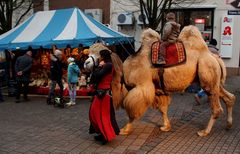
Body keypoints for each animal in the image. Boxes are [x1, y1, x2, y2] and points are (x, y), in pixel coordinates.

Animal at [84, 25, 236, 137]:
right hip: (214, 82)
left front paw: (125, 129)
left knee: (216, 108)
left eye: (99, 53)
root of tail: (215, 57)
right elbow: (163, 109)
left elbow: (131, 108)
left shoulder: (142, 87)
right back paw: (228, 125)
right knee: (229, 98)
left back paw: (204, 132)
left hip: (207, 74)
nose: (86, 63)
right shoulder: (158, 90)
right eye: (89, 51)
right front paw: (166, 127)